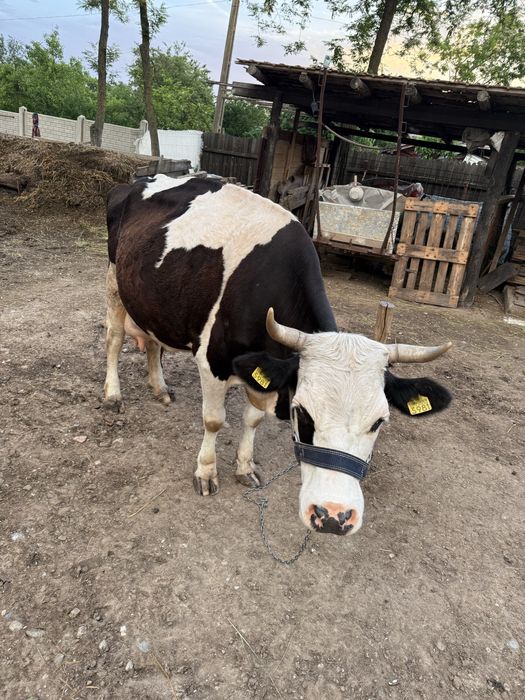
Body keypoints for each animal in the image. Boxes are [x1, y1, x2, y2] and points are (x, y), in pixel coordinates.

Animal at [104, 174, 452, 536]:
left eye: (379, 422)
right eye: (303, 413)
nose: (334, 516)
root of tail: (138, 180)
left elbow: (253, 419)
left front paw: (244, 467)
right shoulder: (211, 361)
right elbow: (214, 420)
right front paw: (206, 472)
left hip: (150, 298)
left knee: (152, 341)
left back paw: (159, 389)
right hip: (114, 281)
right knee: (114, 339)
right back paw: (113, 395)